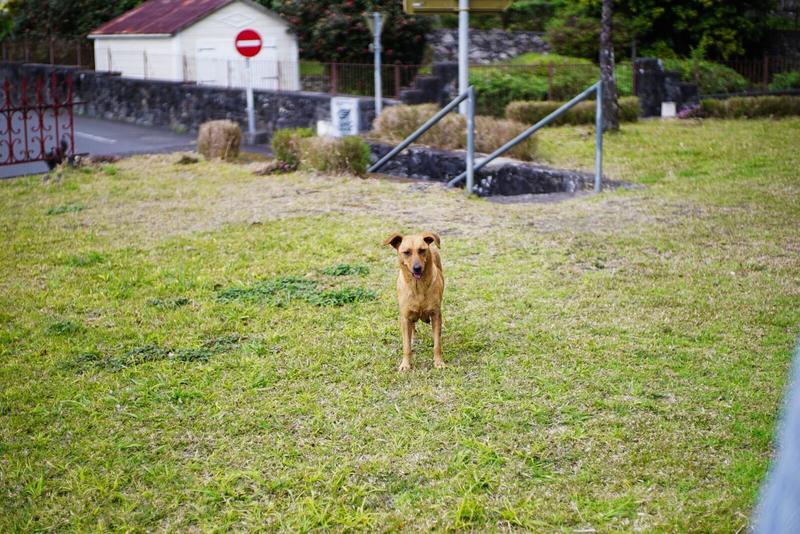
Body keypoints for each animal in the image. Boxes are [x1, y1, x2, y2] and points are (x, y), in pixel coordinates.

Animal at [384, 232, 445, 371]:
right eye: (406, 252)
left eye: (422, 250)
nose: (417, 268)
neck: (418, 286)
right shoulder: (405, 316)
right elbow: (406, 346)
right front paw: (405, 365)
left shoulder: (436, 314)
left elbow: (437, 344)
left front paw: (438, 362)